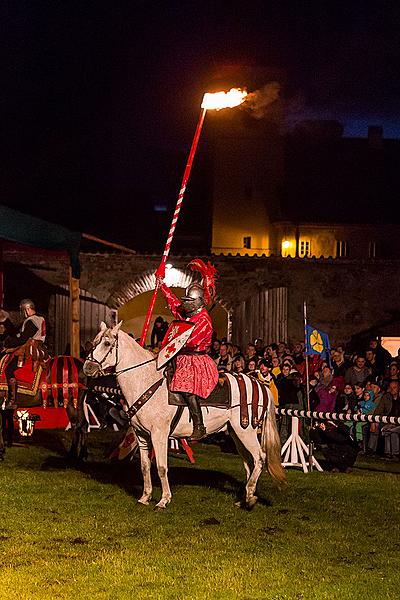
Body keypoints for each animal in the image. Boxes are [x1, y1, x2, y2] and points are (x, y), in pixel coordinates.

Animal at [83, 324, 284, 510]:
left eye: (107, 343)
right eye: (94, 342)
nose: (87, 367)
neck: (146, 380)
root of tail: (261, 386)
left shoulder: (159, 434)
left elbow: (161, 468)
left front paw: (163, 500)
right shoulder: (141, 435)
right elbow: (145, 467)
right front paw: (145, 497)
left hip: (246, 431)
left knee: (259, 458)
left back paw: (249, 496)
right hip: (236, 433)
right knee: (249, 463)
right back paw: (245, 498)